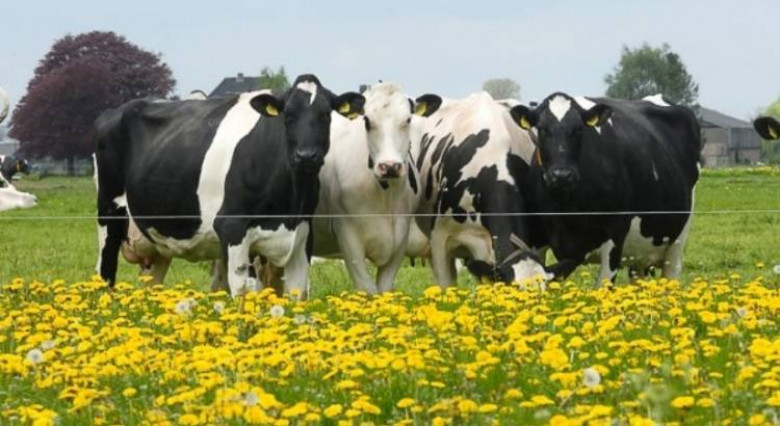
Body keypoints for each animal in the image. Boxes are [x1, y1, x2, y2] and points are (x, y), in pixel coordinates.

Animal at [95, 74, 365, 297]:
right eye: (288, 116)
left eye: (326, 115)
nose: (306, 156)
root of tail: (116, 111)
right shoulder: (232, 228)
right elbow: (245, 293)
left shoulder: (301, 233)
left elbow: (296, 294)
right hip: (109, 213)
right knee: (104, 273)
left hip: (157, 239)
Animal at [309, 82, 422, 294]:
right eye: (367, 121)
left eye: (408, 120)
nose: (390, 166)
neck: (385, 196)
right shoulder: (348, 238)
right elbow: (367, 289)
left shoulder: (400, 240)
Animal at [509, 93, 701, 284]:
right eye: (542, 129)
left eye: (579, 129)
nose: (561, 175)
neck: (566, 208)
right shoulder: (537, 239)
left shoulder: (615, 238)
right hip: (640, 256)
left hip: (677, 242)